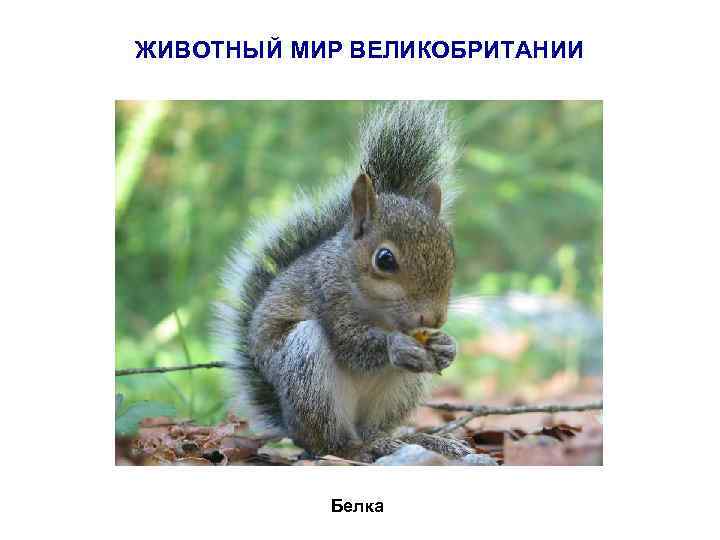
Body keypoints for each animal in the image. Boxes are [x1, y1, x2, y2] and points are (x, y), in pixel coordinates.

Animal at [214, 102, 471, 462]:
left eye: (451, 250)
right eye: (384, 259)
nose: (434, 319)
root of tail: (292, 428)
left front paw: (447, 346)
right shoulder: (327, 295)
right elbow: (351, 345)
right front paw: (396, 346)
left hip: (402, 390)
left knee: (375, 429)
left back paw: (414, 441)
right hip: (306, 370)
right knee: (333, 443)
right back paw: (361, 448)